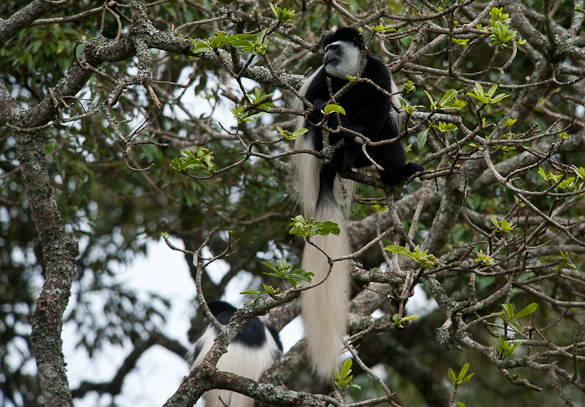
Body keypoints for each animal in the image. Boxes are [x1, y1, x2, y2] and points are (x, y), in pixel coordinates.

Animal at [294, 27, 422, 380]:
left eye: (335, 48)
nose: (325, 55)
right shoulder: (323, 77)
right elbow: (313, 105)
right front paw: (325, 113)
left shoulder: (376, 71)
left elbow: (379, 108)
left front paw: (354, 128)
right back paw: (335, 129)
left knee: (388, 125)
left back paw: (392, 171)